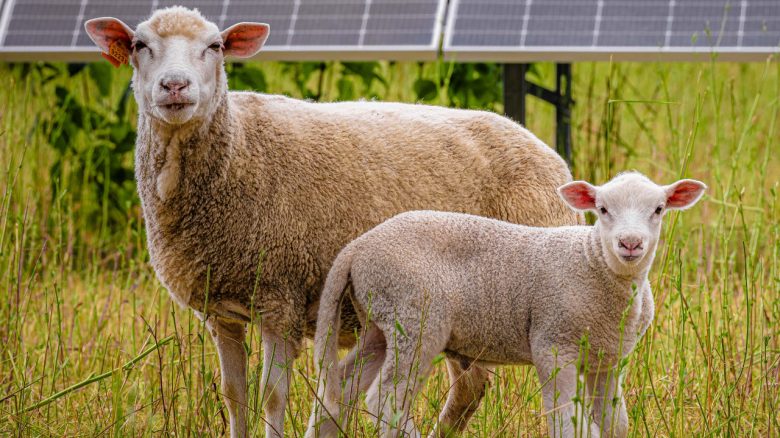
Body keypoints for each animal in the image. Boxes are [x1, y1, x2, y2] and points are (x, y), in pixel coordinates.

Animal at [84, 6, 581, 437]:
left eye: (215, 46)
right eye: (139, 45)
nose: (174, 86)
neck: (236, 150)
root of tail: (545, 152)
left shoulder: (279, 299)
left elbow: (271, 396)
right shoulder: (220, 311)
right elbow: (234, 395)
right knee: (469, 388)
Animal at [306, 172, 706, 438]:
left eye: (659, 209)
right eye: (603, 209)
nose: (630, 243)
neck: (593, 263)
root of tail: (358, 247)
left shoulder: (609, 359)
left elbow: (614, 424)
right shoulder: (552, 343)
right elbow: (567, 421)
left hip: (380, 322)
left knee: (337, 391)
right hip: (415, 319)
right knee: (385, 400)